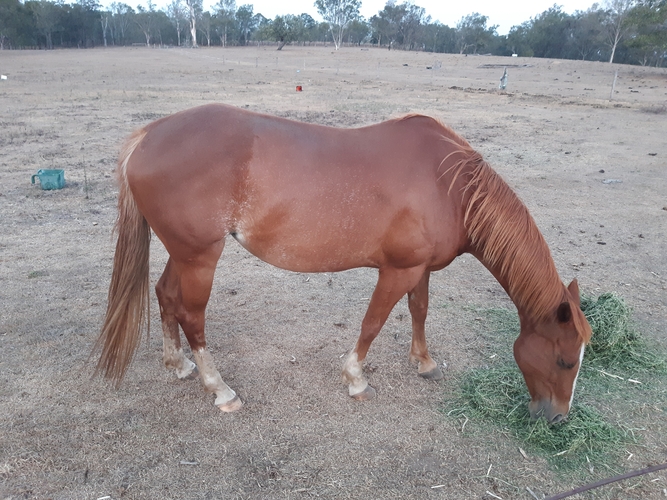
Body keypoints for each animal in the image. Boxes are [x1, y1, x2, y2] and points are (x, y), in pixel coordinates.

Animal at [95, 104, 592, 423]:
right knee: (192, 316)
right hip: (200, 257)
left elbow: (419, 310)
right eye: (566, 361)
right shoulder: (397, 271)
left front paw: (424, 362)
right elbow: (373, 323)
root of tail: (147, 137)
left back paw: (177, 364)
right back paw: (219, 389)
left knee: (165, 296)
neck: (450, 186)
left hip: (184, 254)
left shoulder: (419, 269)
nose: (558, 419)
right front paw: (356, 379)